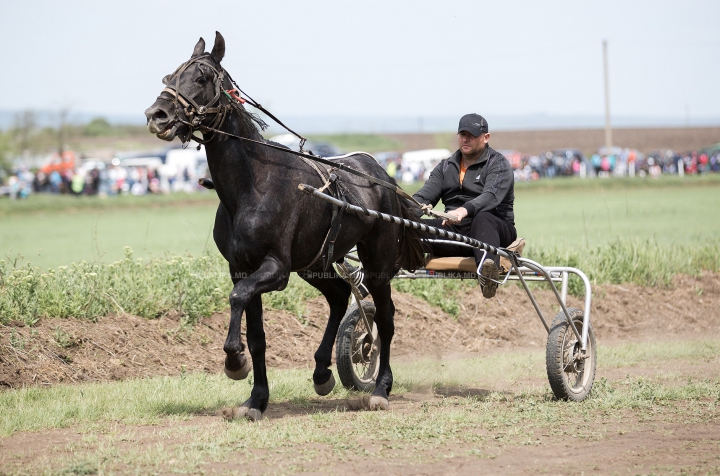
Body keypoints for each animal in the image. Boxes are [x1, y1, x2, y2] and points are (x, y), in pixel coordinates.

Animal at [144, 32, 424, 420]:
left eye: (200, 77)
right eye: (170, 76)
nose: (157, 115)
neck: (252, 185)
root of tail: (382, 174)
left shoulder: (275, 268)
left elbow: (238, 297)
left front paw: (235, 362)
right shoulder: (241, 267)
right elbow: (256, 334)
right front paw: (255, 399)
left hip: (378, 261)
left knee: (384, 318)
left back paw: (380, 387)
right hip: (314, 262)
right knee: (339, 295)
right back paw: (322, 372)